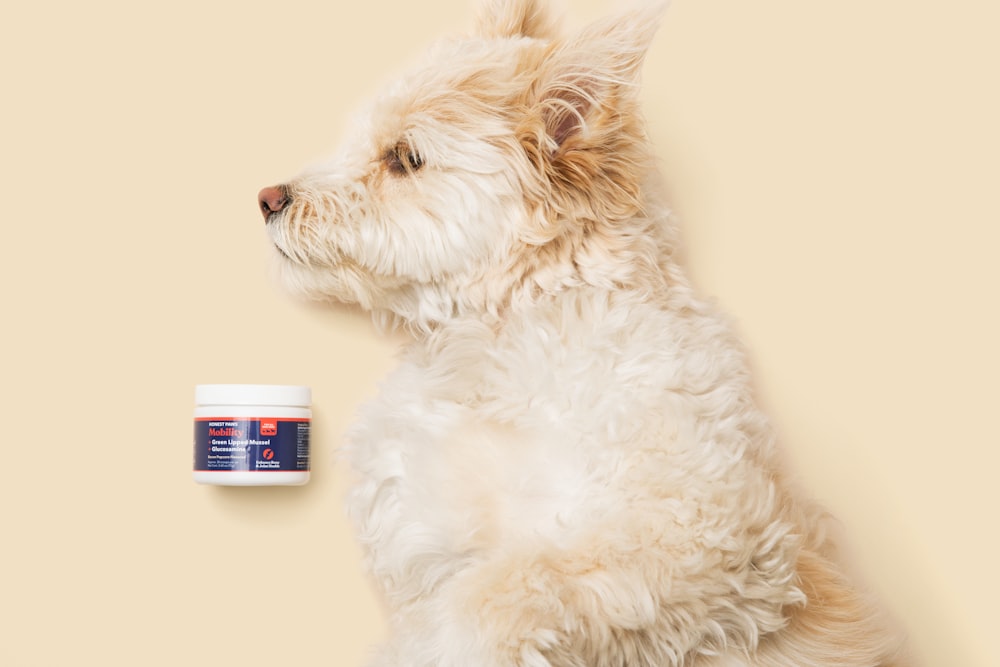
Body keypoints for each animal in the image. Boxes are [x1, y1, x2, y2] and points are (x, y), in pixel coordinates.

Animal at [256, 2, 908, 664]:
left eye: (404, 158)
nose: (268, 198)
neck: (504, 330)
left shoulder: (705, 537)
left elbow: (496, 592)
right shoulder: (424, 542)